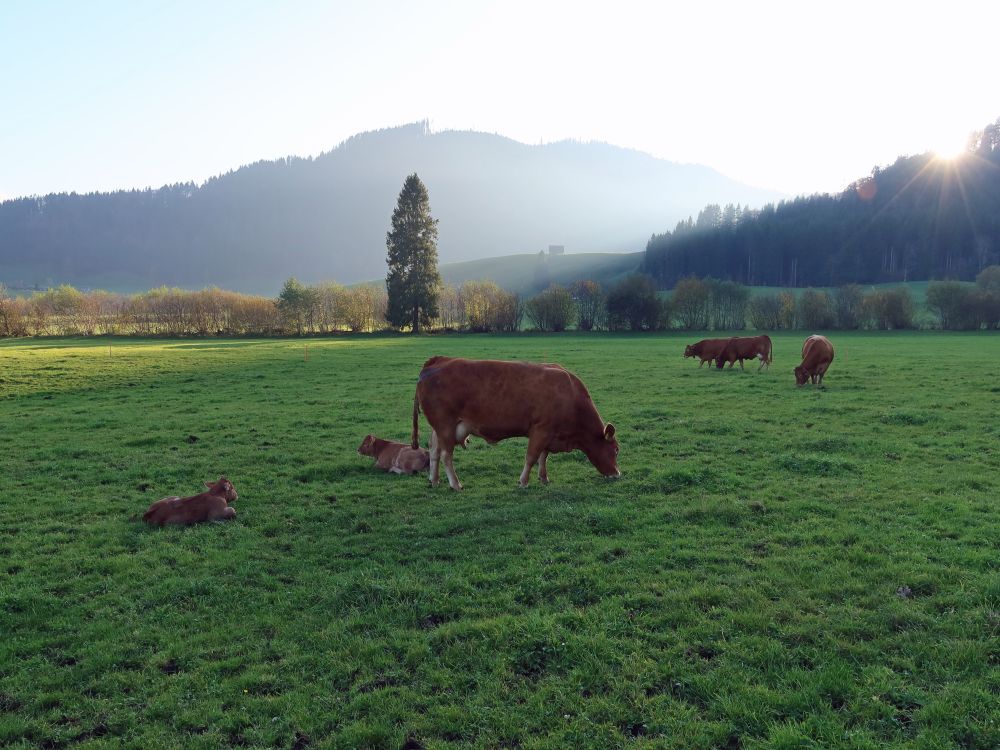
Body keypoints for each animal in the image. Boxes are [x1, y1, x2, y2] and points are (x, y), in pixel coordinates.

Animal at [412, 360, 616, 494]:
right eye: (616, 451)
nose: (617, 474)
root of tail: (438, 361)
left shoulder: (549, 432)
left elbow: (543, 456)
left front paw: (543, 478)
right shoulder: (541, 430)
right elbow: (531, 457)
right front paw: (524, 481)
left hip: (440, 428)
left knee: (434, 450)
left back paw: (434, 480)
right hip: (446, 426)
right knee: (446, 455)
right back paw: (455, 484)